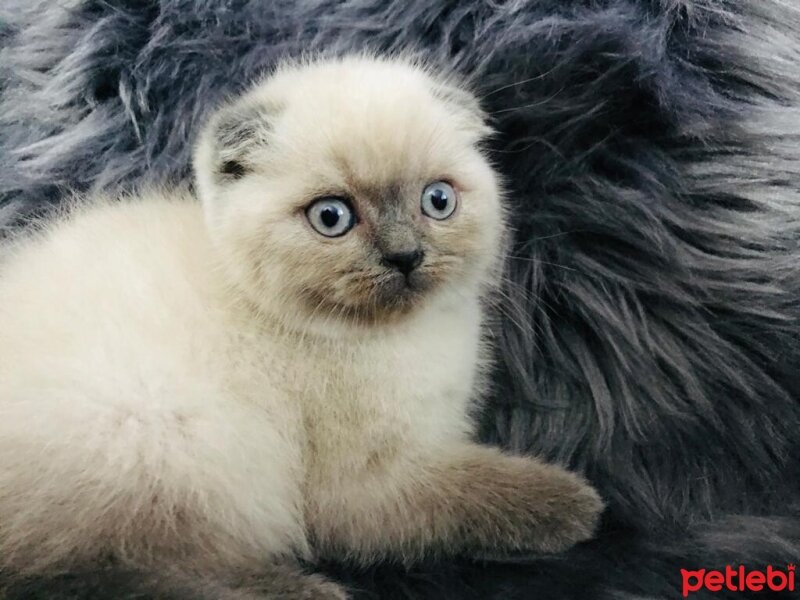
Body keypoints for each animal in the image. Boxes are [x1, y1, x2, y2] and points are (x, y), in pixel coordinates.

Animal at [0, 55, 600, 596]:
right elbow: (474, 489)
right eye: (331, 217)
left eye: (438, 200)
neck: (399, 339)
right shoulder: (366, 487)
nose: (405, 256)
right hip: (175, 437)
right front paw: (575, 504)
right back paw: (300, 589)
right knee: (104, 571)